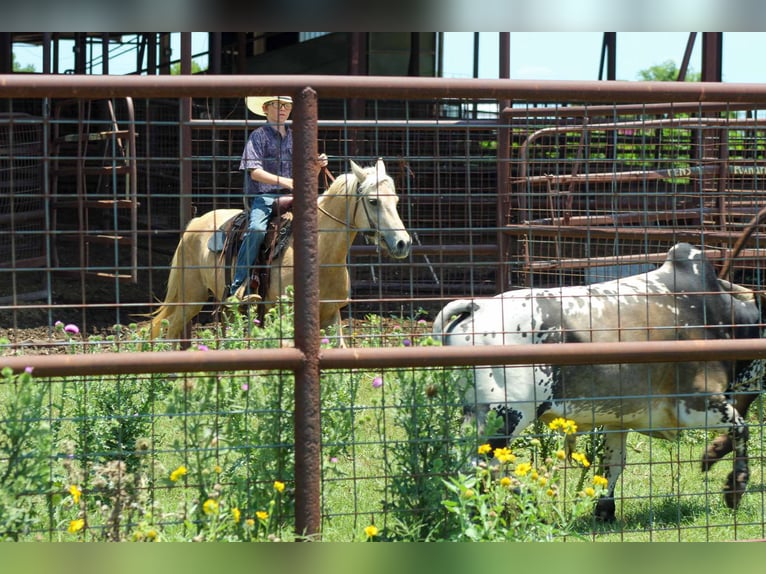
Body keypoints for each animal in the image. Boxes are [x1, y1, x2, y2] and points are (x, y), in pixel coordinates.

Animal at [150, 158, 412, 344]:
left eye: (396, 200)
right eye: (373, 201)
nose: (403, 243)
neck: (322, 257)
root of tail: (194, 224)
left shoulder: (331, 315)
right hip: (191, 296)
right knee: (171, 327)